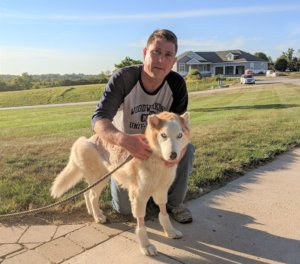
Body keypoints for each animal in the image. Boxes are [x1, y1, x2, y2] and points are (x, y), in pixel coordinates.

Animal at [51, 111, 190, 256]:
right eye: (163, 135)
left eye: (179, 135)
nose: (173, 155)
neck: (157, 160)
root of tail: (87, 140)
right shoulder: (139, 196)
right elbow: (141, 225)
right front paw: (145, 245)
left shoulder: (161, 192)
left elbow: (164, 214)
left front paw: (170, 231)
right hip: (100, 179)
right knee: (92, 196)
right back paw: (98, 217)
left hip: (99, 179)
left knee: (87, 193)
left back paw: (93, 212)